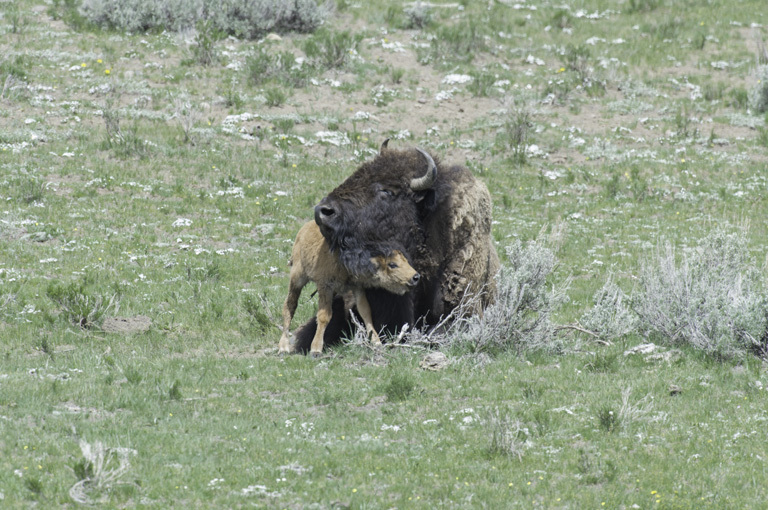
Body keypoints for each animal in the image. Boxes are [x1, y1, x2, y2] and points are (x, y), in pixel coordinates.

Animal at [278, 221, 420, 356]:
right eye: (392, 264)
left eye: (405, 261)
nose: (415, 277)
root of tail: (304, 229)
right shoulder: (325, 287)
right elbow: (324, 316)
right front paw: (315, 350)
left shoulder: (357, 288)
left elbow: (365, 312)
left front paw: (377, 343)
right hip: (297, 278)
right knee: (289, 306)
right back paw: (283, 348)